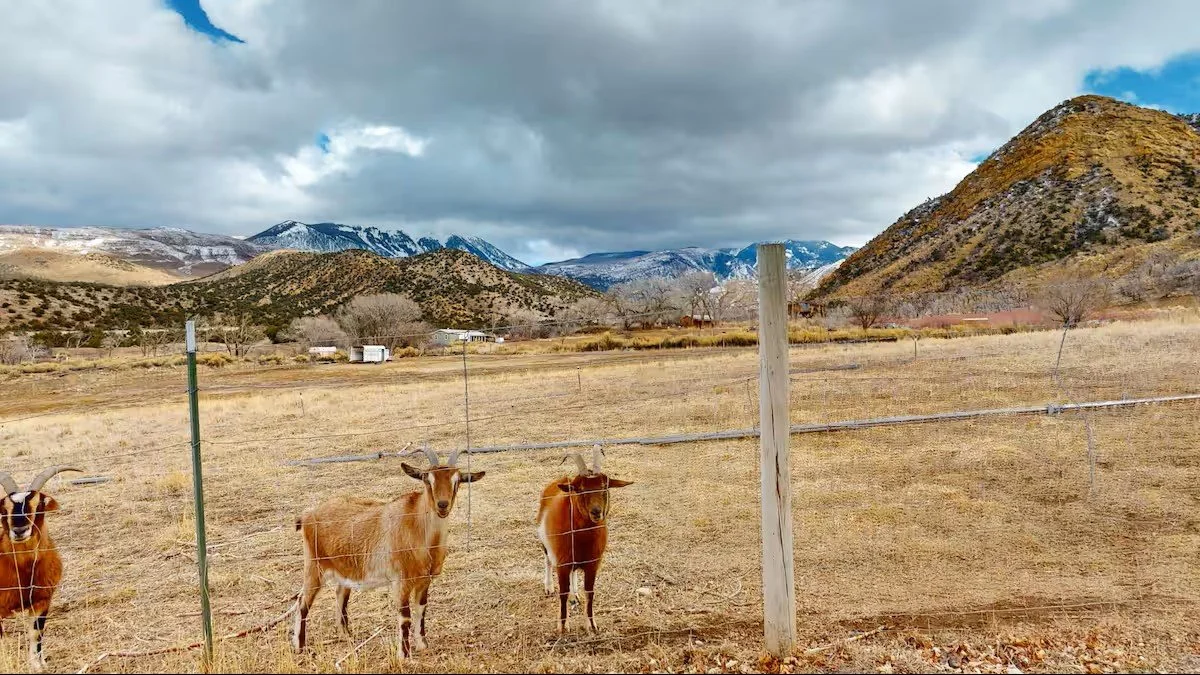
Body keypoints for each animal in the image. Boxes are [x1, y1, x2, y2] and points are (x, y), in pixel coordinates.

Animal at [0, 465, 81, 671]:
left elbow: (35, 635)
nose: (19, 530)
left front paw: (38, 665)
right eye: (4, 508)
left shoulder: (42, 600)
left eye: (39, 504)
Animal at [292, 447, 484, 659]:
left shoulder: (424, 581)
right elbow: (405, 616)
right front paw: (404, 655)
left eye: (457, 481)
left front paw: (422, 645)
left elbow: (421, 609)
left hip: (343, 569)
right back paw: (299, 647)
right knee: (302, 602)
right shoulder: (400, 581)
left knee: (340, 595)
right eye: (427, 479)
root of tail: (307, 515)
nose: (442, 505)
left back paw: (346, 636)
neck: (418, 529)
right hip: (314, 565)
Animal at [535, 445, 632, 634]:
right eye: (579, 488)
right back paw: (549, 587)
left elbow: (590, 592)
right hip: (546, 544)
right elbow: (562, 593)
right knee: (547, 560)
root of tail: (561, 479)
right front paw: (563, 626)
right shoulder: (563, 563)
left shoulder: (592, 563)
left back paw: (575, 595)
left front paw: (592, 625)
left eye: (604, 486)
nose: (596, 512)